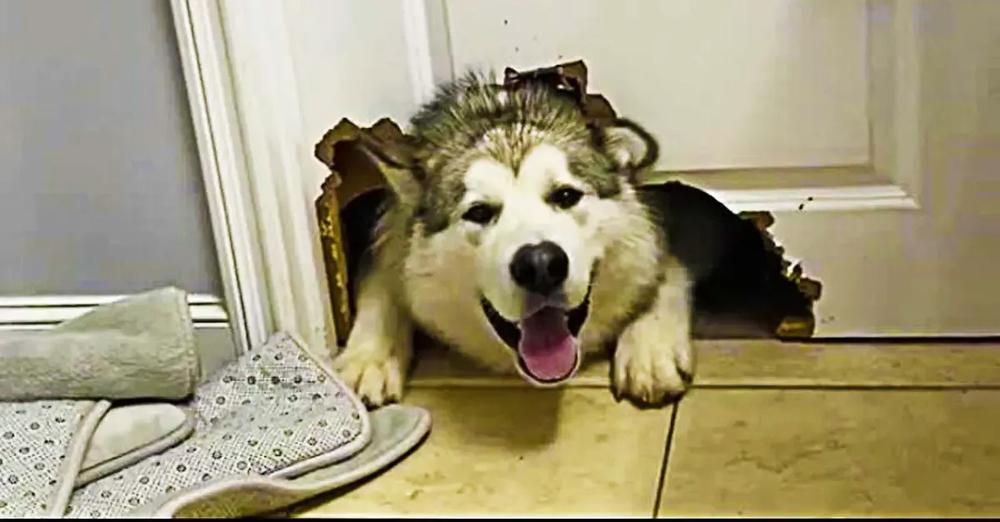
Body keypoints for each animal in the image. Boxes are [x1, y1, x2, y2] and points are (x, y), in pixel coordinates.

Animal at [332, 72, 692, 406]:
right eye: (478, 212)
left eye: (565, 195)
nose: (540, 265)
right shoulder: (389, 236)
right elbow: (380, 287)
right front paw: (369, 357)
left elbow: (666, 275)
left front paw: (650, 347)